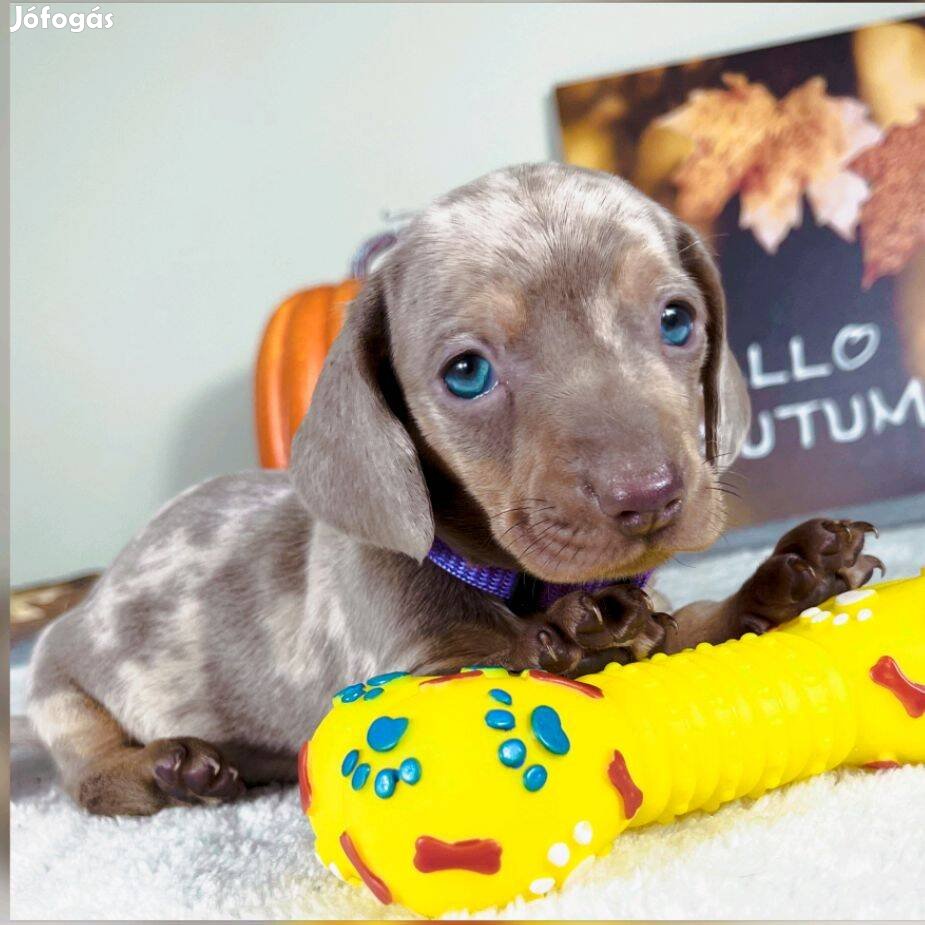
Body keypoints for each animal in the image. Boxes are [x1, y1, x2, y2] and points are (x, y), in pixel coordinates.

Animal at [28, 162, 880, 812]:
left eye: (677, 320)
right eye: (466, 372)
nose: (649, 496)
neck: (516, 581)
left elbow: (693, 622)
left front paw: (786, 577)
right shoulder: (410, 674)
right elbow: (504, 656)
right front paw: (578, 636)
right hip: (57, 684)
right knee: (88, 778)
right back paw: (168, 768)